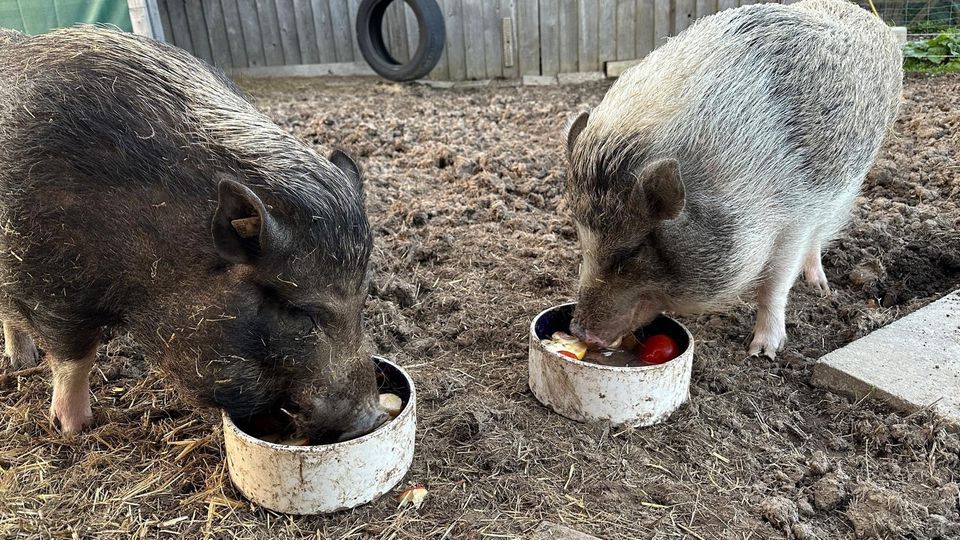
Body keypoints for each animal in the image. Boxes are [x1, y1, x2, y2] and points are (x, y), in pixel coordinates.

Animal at [564, 0, 900, 358]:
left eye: (631, 251)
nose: (579, 331)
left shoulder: (797, 218)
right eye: (582, 242)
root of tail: (870, 17)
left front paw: (761, 352)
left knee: (821, 234)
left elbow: (775, 284)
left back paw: (819, 287)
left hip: (851, 179)